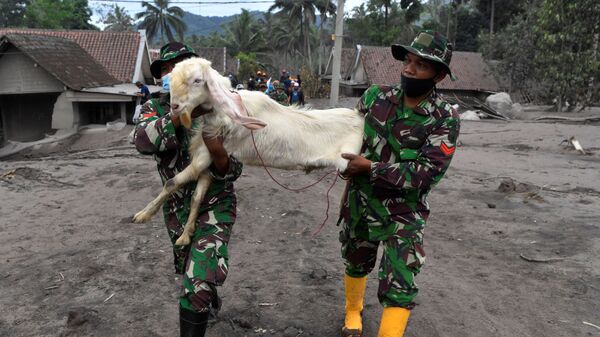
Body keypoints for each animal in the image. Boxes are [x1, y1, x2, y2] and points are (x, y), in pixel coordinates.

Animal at [133, 57, 364, 244]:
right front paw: (185, 235)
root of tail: (360, 118)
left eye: (198, 80)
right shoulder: (208, 161)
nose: (175, 107)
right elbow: (197, 197)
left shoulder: (206, 154)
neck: (220, 111)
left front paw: (143, 214)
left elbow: (172, 183)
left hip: (349, 159)